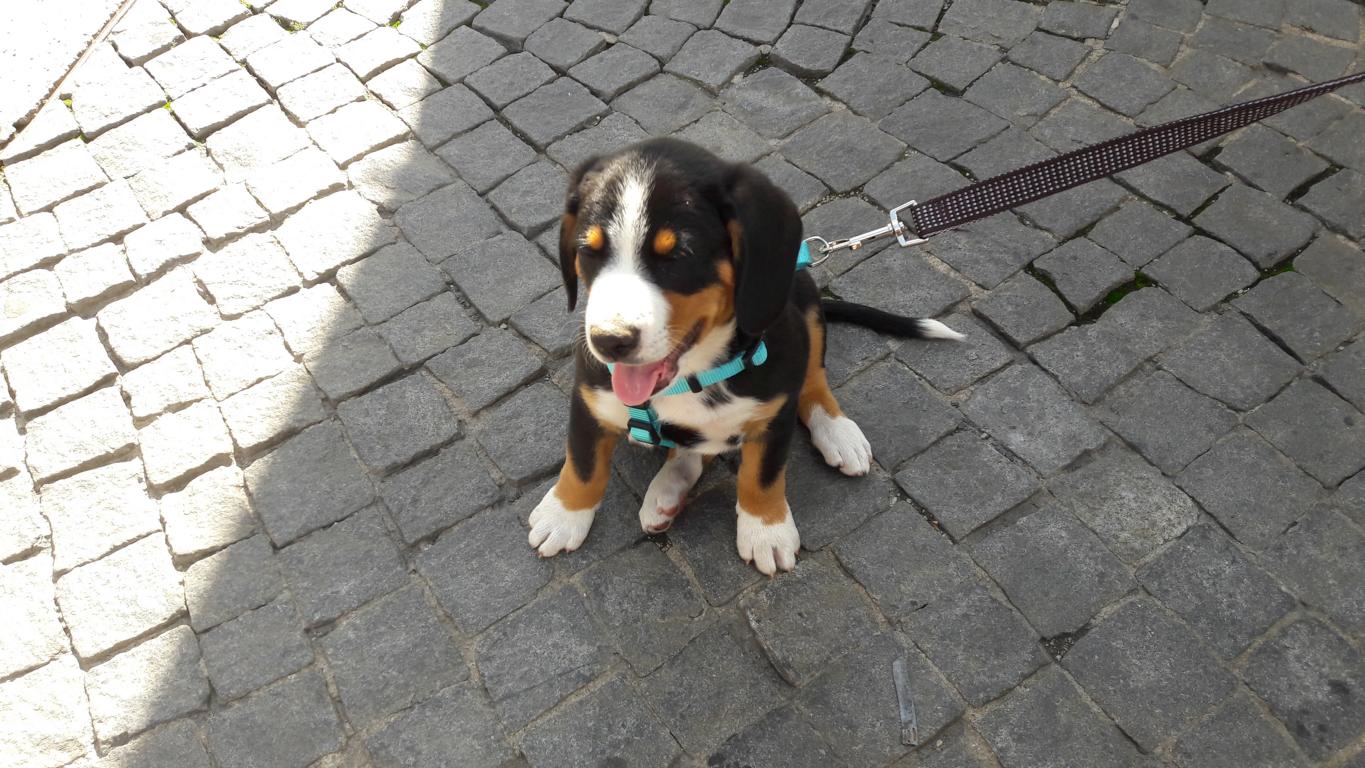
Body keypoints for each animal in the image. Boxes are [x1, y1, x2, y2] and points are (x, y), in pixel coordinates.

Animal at [527, 138, 962, 575]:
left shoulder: (774, 410)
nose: (609, 342)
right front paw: (563, 515)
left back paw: (837, 432)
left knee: (813, 379)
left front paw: (766, 530)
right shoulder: (589, 398)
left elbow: (762, 476)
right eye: (588, 250)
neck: (690, 375)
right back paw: (668, 491)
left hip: (802, 299)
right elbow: (582, 463)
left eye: (679, 254)